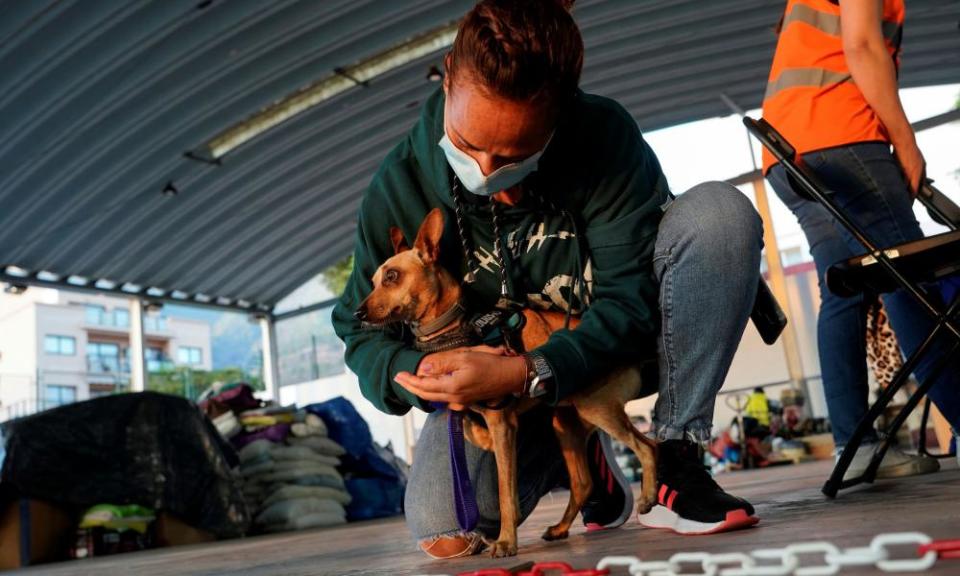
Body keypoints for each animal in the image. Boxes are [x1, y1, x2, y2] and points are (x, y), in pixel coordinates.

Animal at [356, 208, 656, 560]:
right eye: (373, 281)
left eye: (392, 276)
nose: (358, 313)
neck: (453, 327)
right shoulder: (492, 421)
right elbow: (473, 431)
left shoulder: (502, 423)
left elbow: (504, 494)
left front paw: (505, 541)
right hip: (564, 423)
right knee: (583, 482)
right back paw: (560, 528)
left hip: (597, 408)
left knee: (647, 446)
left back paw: (648, 497)